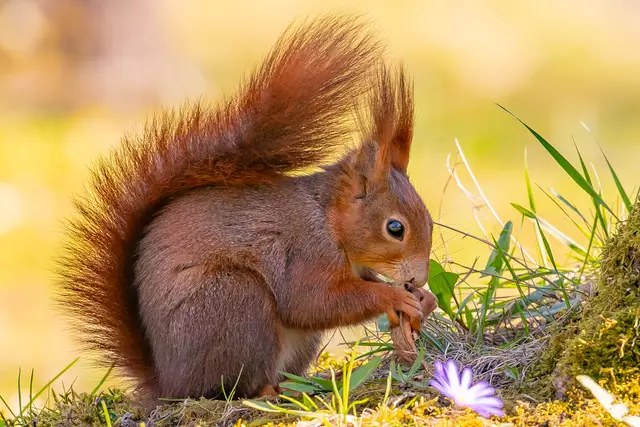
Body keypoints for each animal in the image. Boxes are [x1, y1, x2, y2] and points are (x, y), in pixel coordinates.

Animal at [55, 15, 433, 406]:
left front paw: (423, 300)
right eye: (395, 228)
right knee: (233, 386)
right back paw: (267, 391)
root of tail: (170, 384)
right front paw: (394, 296)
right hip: (236, 302)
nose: (419, 278)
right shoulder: (305, 252)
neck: (327, 220)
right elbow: (310, 302)